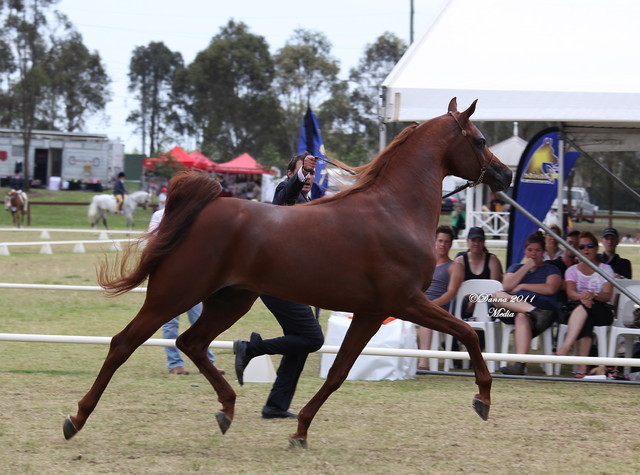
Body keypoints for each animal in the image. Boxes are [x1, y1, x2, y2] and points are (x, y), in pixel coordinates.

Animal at [63, 99, 512, 448]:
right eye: (479, 140)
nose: (505, 174)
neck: (394, 210)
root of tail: (205, 208)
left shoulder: (370, 312)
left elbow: (337, 373)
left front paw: (300, 430)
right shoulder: (406, 302)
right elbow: (468, 333)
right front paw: (483, 400)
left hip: (231, 300)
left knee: (193, 342)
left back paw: (227, 408)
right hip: (173, 295)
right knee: (124, 343)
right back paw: (76, 419)